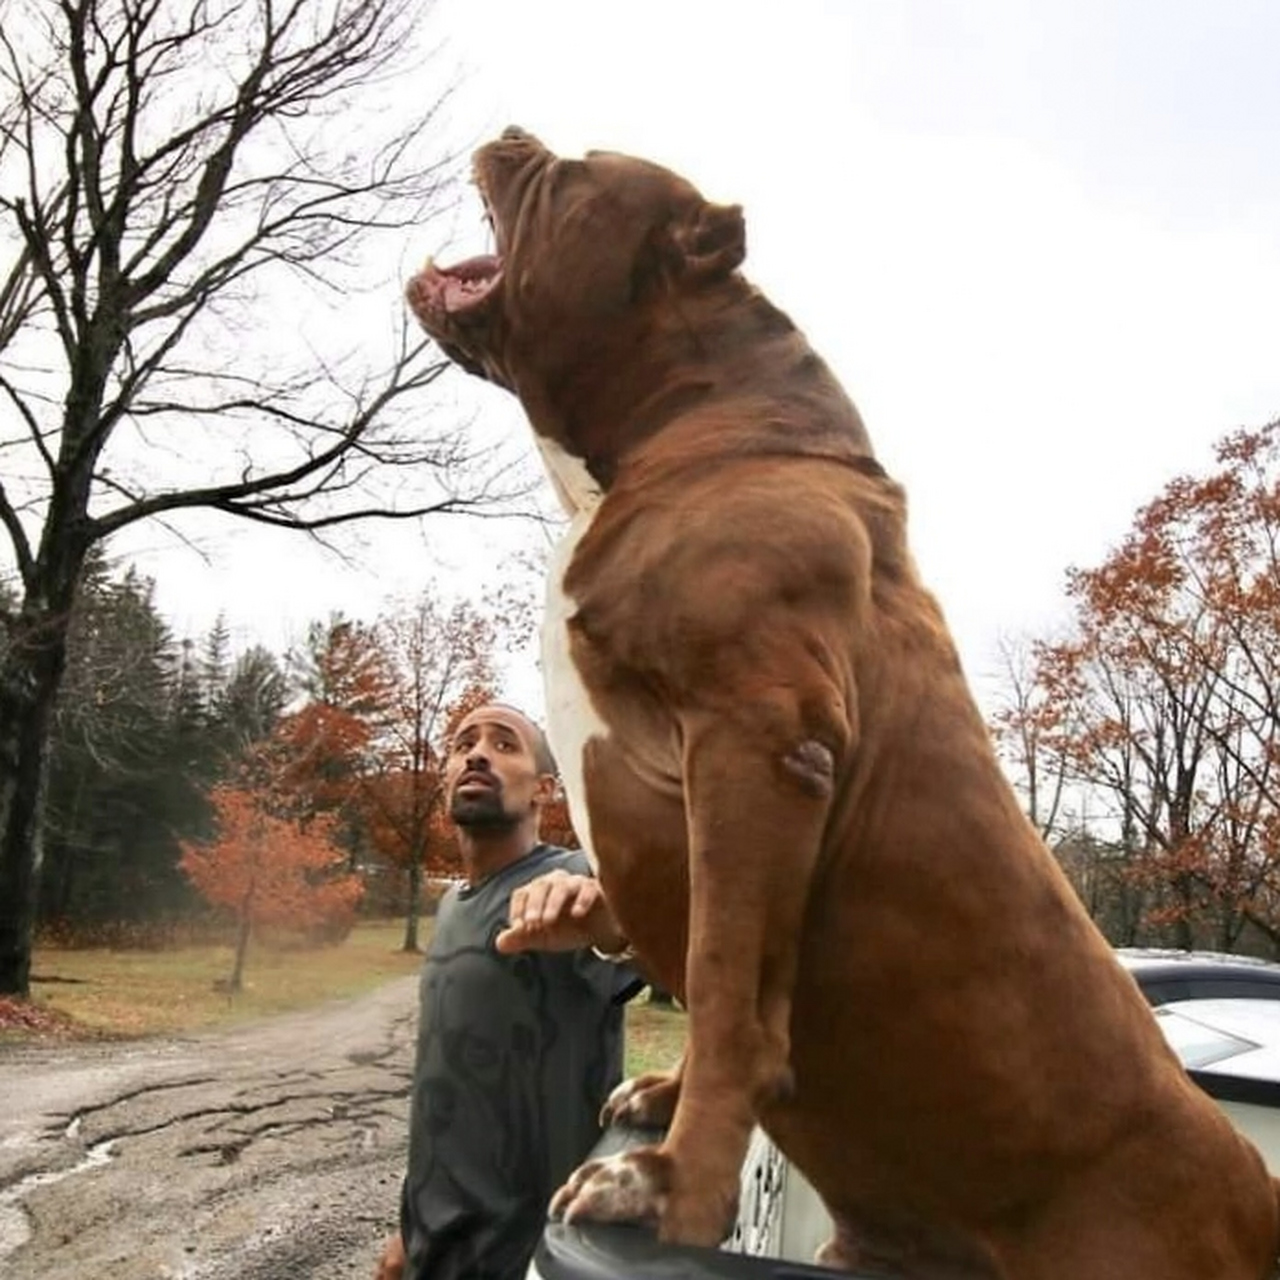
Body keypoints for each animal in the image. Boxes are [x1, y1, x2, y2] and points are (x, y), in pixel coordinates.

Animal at [407, 132, 1280, 1280]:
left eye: (579, 168)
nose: (511, 134)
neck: (684, 421)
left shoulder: (758, 741)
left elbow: (725, 986)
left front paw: (670, 1187)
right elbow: (698, 970)